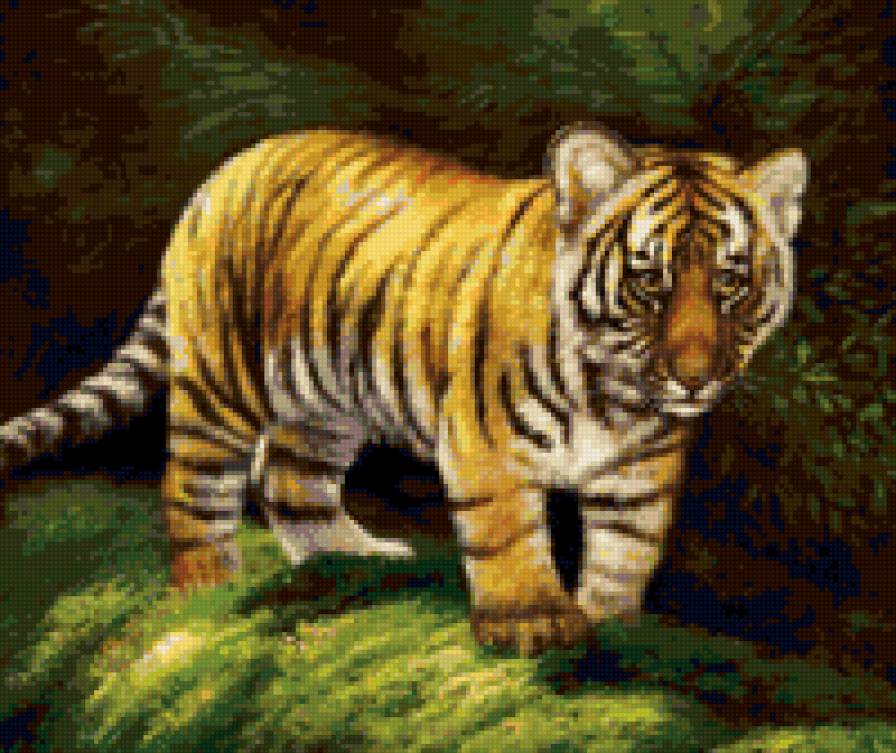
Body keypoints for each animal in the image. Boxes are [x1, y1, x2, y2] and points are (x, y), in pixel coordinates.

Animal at [0, 124, 806, 655]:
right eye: (650, 279)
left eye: (731, 281)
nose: (696, 376)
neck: (619, 400)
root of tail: (226, 168)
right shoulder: (488, 440)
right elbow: (509, 531)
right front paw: (534, 621)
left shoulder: (642, 469)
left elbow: (626, 549)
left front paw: (610, 622)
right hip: (222, 384)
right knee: (195, 483)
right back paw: (207, 584)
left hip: (322, 403)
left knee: (288, 478)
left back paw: (347, 557)